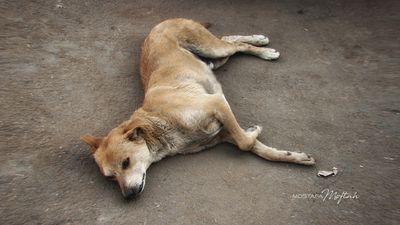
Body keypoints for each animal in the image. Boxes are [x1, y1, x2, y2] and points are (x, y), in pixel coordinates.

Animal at [81, 18, 316, 199]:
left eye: (126, 162)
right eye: (110, 177)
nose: (128, 196)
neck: (159, 122)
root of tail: (160, 23)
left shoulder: (217, 103)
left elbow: (245, 143)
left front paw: (255, 131)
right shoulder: (223, 133)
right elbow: (257, 148)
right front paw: (294, 157)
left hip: (210, 47)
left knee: (235, 46)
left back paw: (263, 48)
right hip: (214, 56)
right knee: (228, 41)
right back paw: (256, 41)